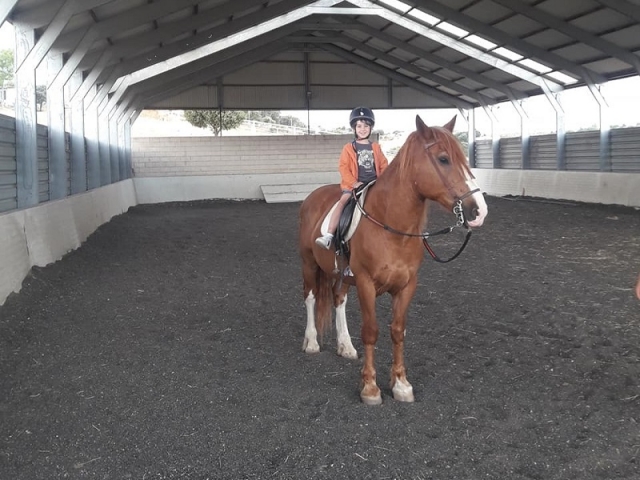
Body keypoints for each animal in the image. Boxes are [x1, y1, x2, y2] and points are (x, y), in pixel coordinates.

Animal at [298, 114, 488, 404]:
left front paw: (400, 384)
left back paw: (345, 346)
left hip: (341, 274)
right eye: (443, 159)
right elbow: (371, 331)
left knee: (338, 300)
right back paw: (311, 342)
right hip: (309, 264)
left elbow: (398, 331)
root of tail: (312, 197)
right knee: (310, 297)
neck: (391, 226)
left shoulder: (407, 285)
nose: (479, 211)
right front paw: (370, 388)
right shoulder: (366, 284)